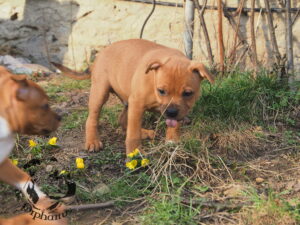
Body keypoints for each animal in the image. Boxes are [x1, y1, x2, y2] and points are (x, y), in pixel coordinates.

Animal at [52, 39, 214, 155]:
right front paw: (135, 153)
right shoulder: (137, 105)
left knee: (123, 120)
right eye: (161, 91)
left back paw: (145, 132)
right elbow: (133, 133)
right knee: (93, 118)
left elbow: (173, 124)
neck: (153, 80)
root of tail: (100, 54)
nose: (171, 112)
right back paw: (93, 141)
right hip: (100, 92)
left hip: (127, 100)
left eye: (188, 93)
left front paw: (172, 141)